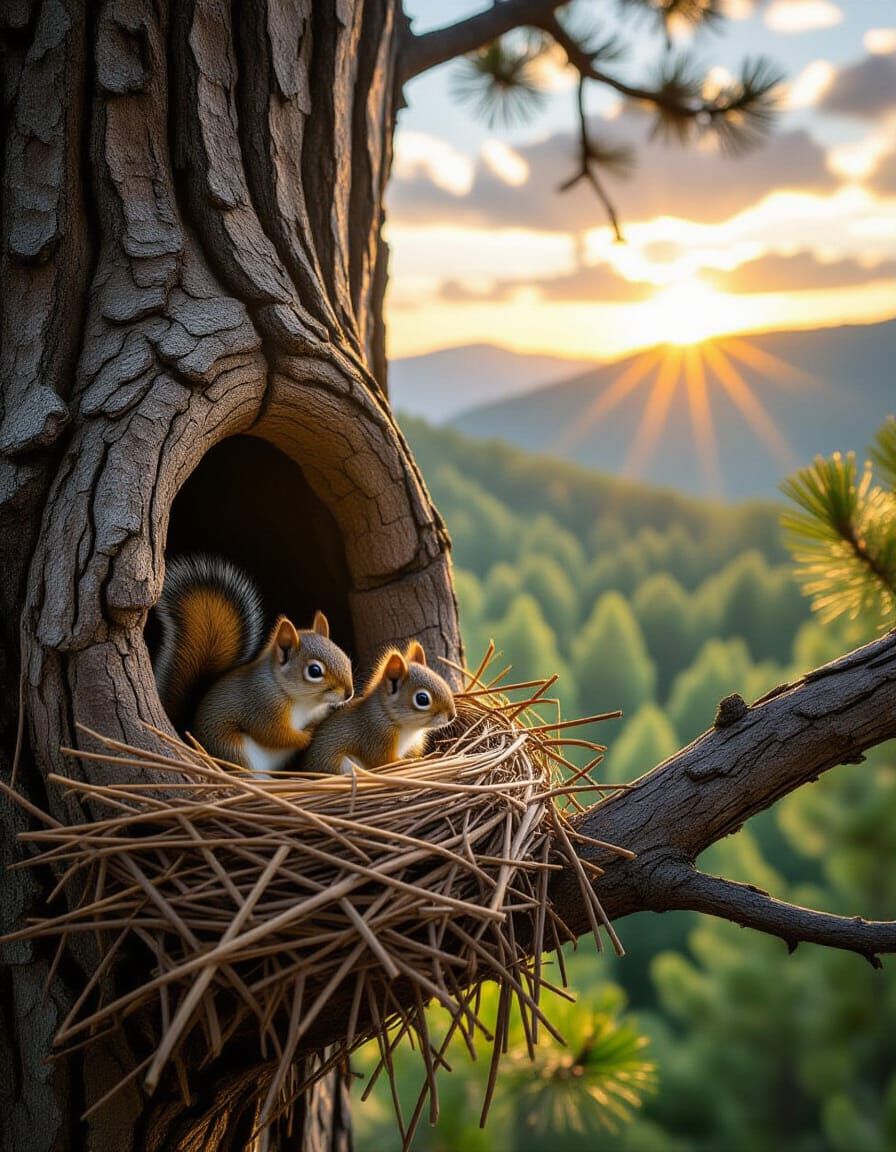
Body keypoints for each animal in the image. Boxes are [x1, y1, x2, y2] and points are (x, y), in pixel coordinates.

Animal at [154, 554, 354, 776]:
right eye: (314, 671)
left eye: (345, 658)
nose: (349, 693)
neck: (303, 701)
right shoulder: (261, 706)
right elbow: (274, 734)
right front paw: (306, 736)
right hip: (234, 749)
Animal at [299, 640, 456, 775]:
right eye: (422, 699)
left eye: (442, 680)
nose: (452, 715)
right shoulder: (376, 736)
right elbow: (385, 762)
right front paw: (415, 761)